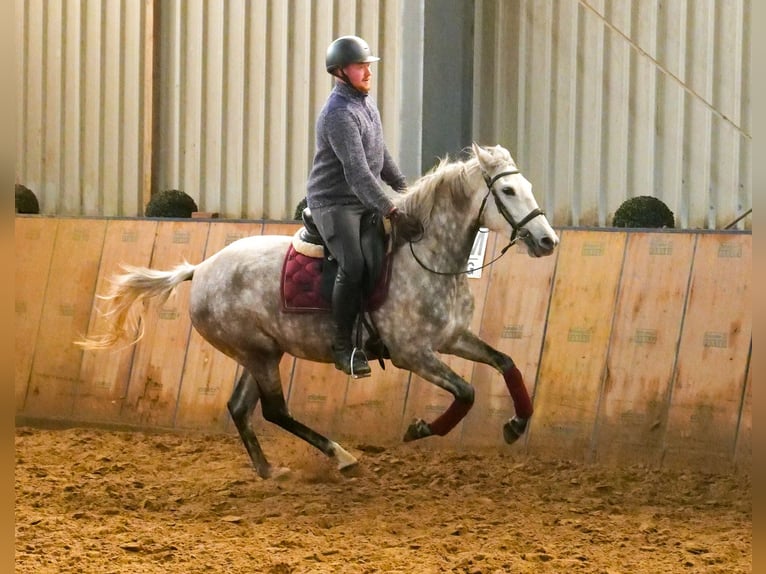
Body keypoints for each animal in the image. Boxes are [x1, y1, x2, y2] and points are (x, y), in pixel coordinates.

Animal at [78, 145, 560, 482]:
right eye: (508, 191)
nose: (547, 241)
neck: (426, 255)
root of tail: (202, 268)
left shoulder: (451, 338)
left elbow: (506, 364)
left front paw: (516, 424)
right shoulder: (414, 354)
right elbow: (467, 393)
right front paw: (420, 429)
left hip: (261, 353)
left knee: (240, 408)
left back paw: (270, 471)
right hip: (259, 355)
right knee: (274, 412)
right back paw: (341, 457)